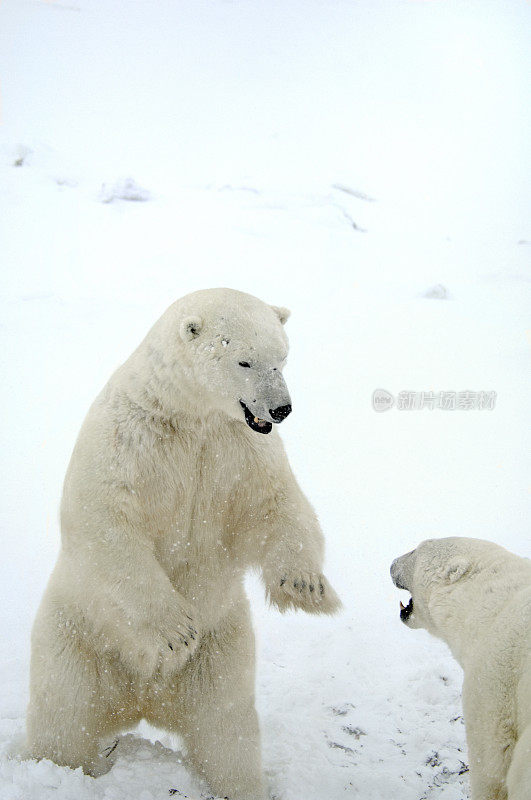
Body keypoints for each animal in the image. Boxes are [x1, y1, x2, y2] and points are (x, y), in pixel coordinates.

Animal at [27, 290, 340, 800]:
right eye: (244, 360)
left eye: (283, 357)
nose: (281, 410)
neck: (187, 415)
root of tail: (142, 700)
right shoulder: (128, 441)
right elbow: (107, 519)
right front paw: (177, 633)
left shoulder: (238, 449)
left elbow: (274, 503)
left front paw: (305, 586)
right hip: (78, 634)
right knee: (65, 714)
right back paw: (64, 766)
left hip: (223, 649)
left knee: (227, 727)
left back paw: (240, 785)